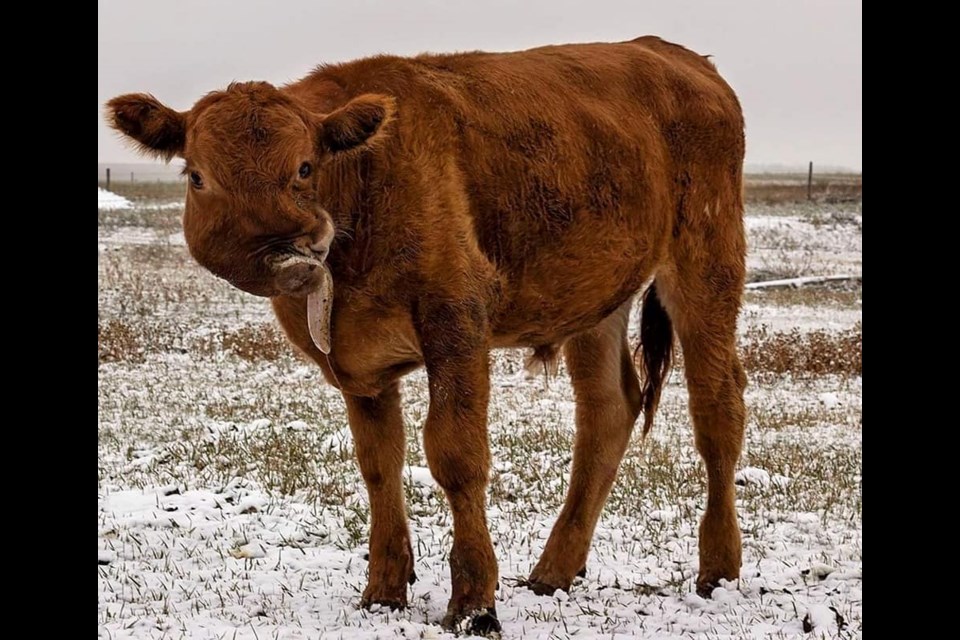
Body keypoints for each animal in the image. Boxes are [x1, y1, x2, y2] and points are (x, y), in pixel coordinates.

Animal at [107, 36, 752, 636]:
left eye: (305, 167)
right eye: (197, 175)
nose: (288, 252)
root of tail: (674, 55)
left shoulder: (457, 323)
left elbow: (455, 454)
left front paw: (474, 603)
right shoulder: (356, 367)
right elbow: (378, 462)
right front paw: (384, 590)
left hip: (707, 261)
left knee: (716, 407)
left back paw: (717, 571)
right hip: (594, 297)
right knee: (607, 410)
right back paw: (553, 573)